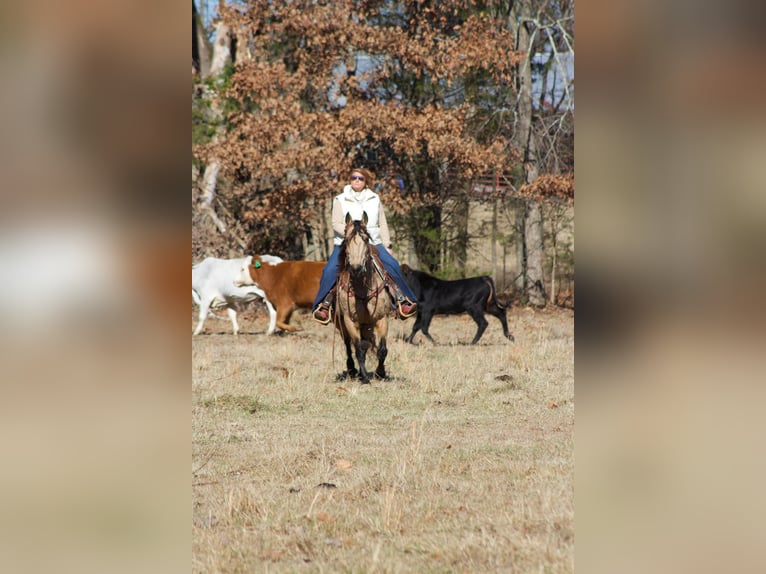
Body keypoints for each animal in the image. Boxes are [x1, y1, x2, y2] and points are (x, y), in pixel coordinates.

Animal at [338, 214, 396, 384]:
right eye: (347, 239)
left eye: (366, 238)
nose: (356, 268)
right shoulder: (350, 321)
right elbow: (358, 350)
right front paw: (364, 377)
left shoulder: (382, 319)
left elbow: (382, 350)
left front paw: (380, 373)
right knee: (348, 347)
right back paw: (352, 370)